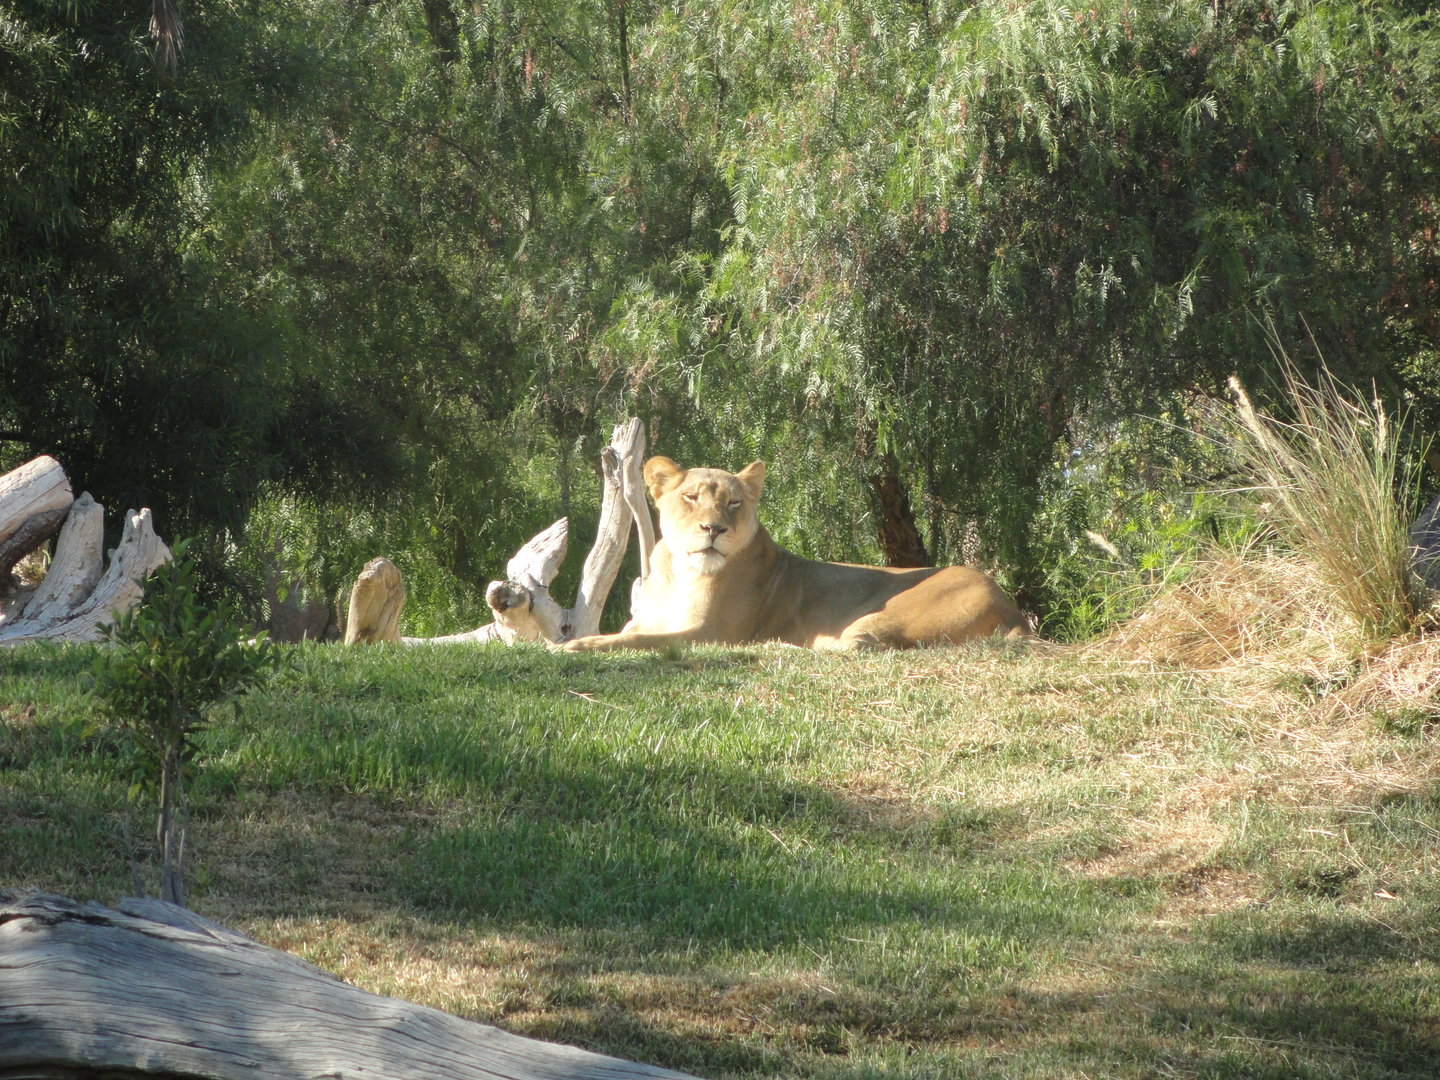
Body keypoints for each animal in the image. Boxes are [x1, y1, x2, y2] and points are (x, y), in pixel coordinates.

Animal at [561, 456, 1031, 652]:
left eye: (733, 503)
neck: (681, 571)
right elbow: (629, 633)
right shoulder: (651, 622)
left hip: (874, 620)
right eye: (692, 497)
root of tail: (1012, 608)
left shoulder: (710, 633)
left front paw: (576, 645)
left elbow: (634, 641)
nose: (714, 529)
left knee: (854, 649)